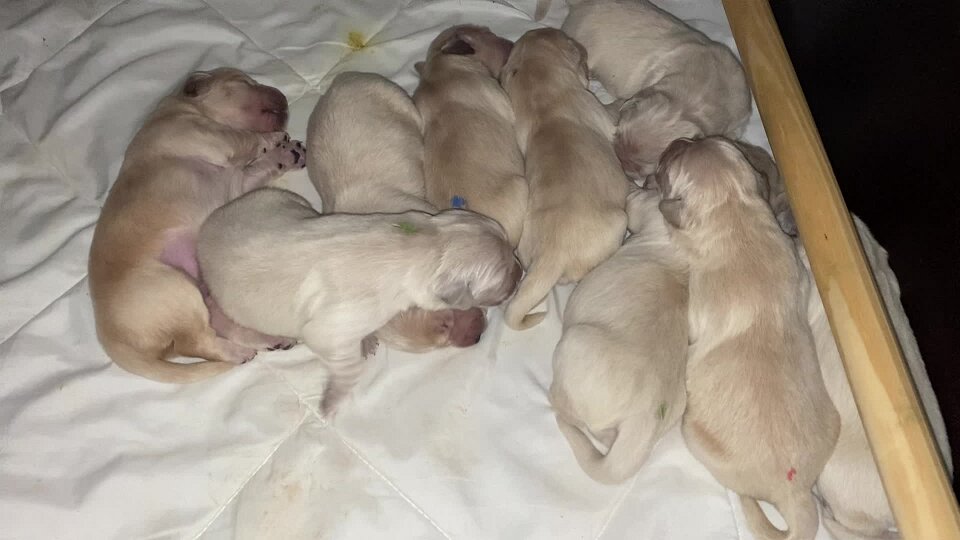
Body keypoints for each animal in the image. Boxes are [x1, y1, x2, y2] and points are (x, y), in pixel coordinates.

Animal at [88, 68, 304, 383]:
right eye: (246, 83)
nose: (284, 96)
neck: (188, 107)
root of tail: (111, 341)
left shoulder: (239, 181)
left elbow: (260, 167)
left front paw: (285, 154)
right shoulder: (211, 137)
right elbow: (247, 137)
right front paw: (275, 138)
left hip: (202, 291)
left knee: (219, 325)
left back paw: (270, 338)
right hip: (175, 289)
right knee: (196, 343)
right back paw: (240, 353)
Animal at [197, 187, 522, 414]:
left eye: (511, 250)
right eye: (505, 274)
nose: (521, 272)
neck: (427, 244)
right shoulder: (334, 326)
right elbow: (347, 366)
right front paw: (332, 402)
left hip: (278, 199)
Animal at [559, 0, 751, 180]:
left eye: (641, 169)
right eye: (616, 136)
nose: (621, 164)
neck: (697, 96)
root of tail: (581, 4)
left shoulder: (738, 121)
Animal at [654, 137, 839, 540]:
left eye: (671, 163)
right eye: (694, 140)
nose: (677, 140)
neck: (732, 211)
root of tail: (794, 494)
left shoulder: (698, 305)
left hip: (694, 434)